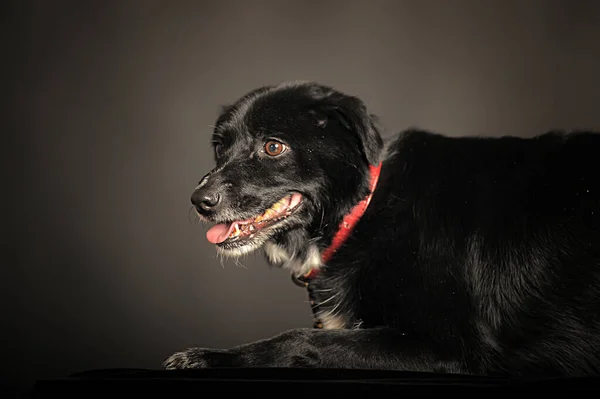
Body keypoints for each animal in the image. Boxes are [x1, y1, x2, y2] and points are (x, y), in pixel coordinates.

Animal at [164, 80, 600, 378]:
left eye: (273, 147)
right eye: (220, 148)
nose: (199, 201)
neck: (361, 213)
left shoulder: (454, 348)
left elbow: (301, 338)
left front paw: (212, 357)